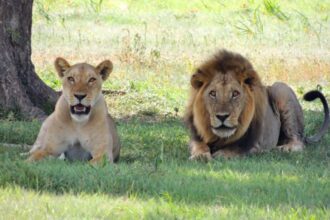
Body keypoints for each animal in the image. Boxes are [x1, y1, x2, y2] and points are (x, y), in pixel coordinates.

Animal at [187, 49, 328, 160]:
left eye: (235, 94)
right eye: (212, 93)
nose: (222, 116)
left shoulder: (255, 143)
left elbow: (238, 149)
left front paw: (222, 154)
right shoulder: (196, 137)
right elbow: (199, 146)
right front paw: (200, 156)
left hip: (280, 88)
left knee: (298, 141)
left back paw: (282, 149)